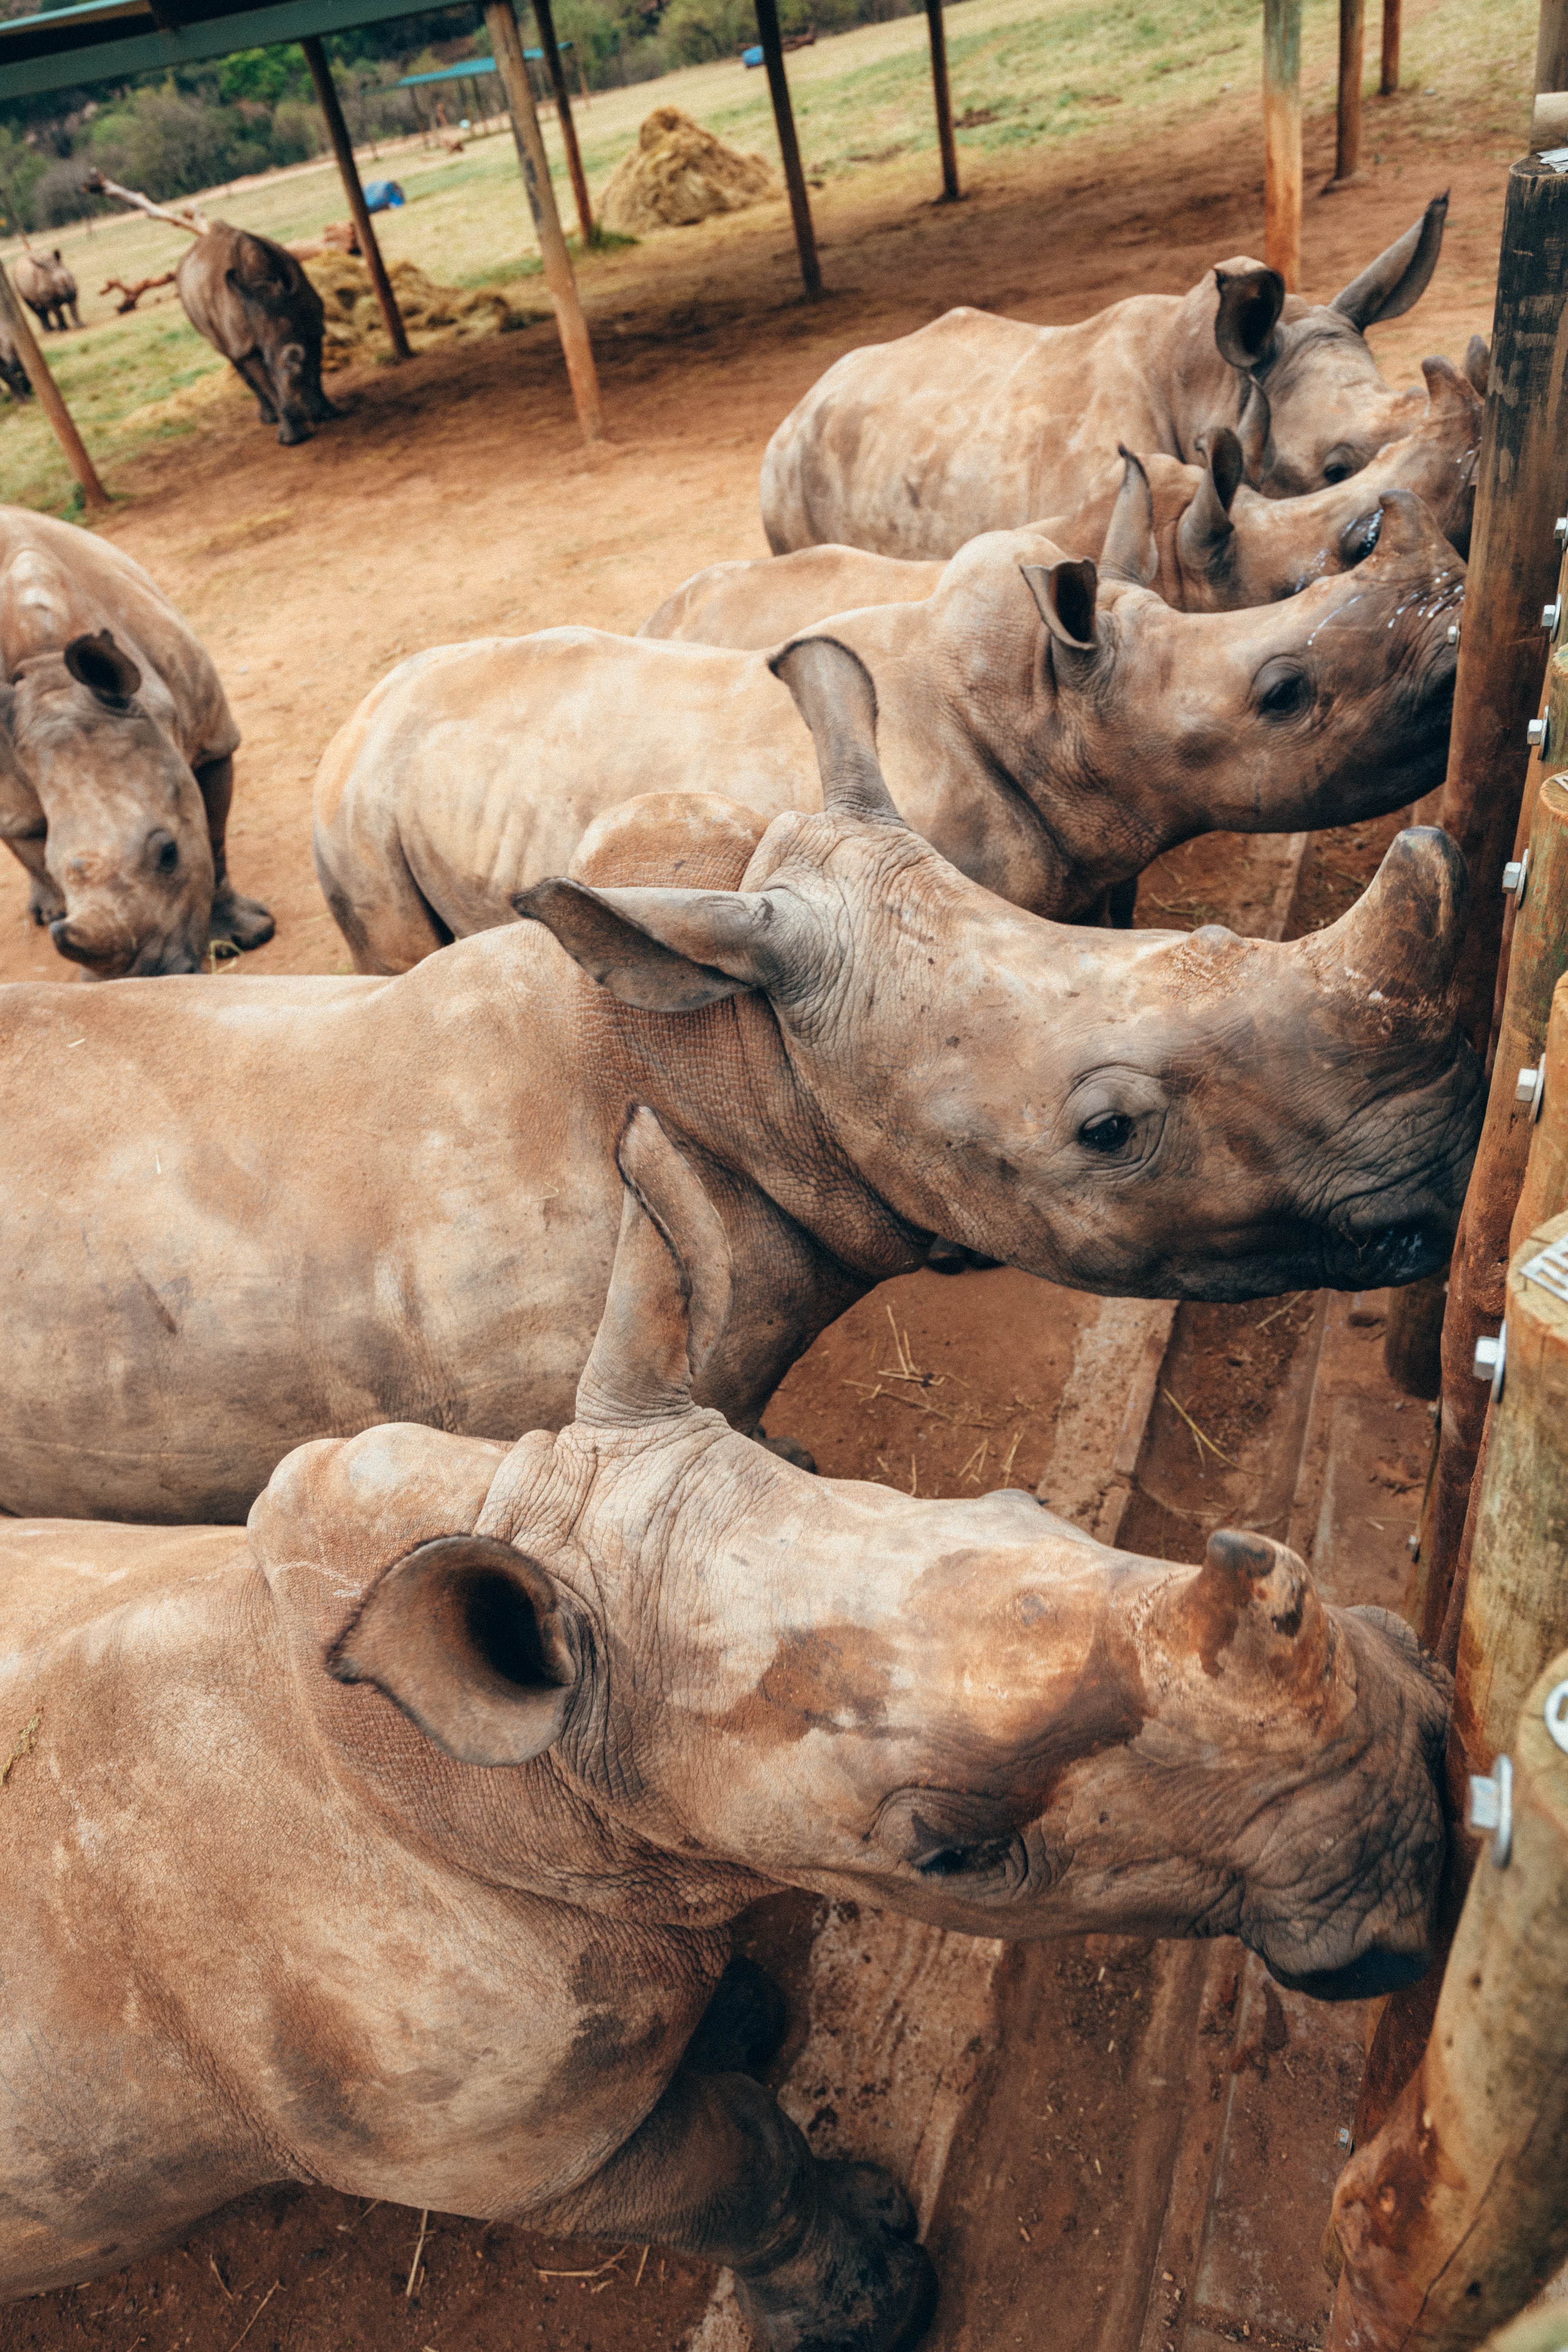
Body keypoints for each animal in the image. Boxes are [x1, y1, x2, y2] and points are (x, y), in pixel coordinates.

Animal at [0, 508, 273, 976]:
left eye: (169, 854)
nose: (140, 979)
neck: (49, 665)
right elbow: (32, 836)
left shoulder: (213, 740)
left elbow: (213, 837)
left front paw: (247, 936)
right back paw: (48, 912)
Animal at [0, 1109, 1455, 2336]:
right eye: (953, 1852)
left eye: (1023, 1507)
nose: (1421, 1774)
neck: (524, 1781)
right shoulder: (506, 2146)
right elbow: (739, 2171)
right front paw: (873, 2295)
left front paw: (738, 2018)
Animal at [13, 248, 80, 332]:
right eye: (54, 283)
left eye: (71, 276)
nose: (70, 293)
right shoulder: (49, 299)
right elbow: (57, 312)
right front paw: (63, 329)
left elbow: (74, 309)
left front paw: (80, 325)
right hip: (18, 284)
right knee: (35, 308)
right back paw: (49, 330)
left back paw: (52, 329)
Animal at [177, 223, 341, 446]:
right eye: (268, 363)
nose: (298, 409)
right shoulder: (246, 346)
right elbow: (268, 384)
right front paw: (292, 439)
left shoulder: (314, 330)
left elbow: (316, 371)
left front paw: (326, 413)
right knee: (231, 356)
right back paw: (269, 418)